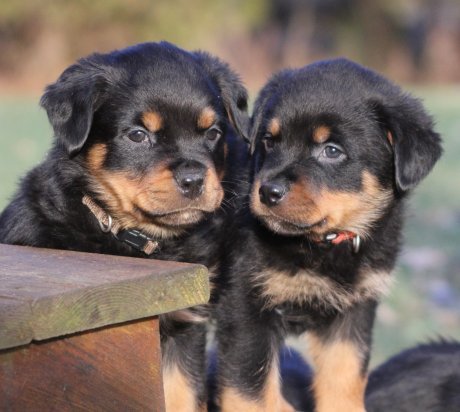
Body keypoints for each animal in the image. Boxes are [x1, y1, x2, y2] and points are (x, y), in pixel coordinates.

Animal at [215, 58, 442, 411]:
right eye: (269, 140)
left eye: (332, 151)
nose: (267, 192)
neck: (323, 243)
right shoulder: (245, 305)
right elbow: (251, 392)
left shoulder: (353, 312)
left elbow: (344, 380)